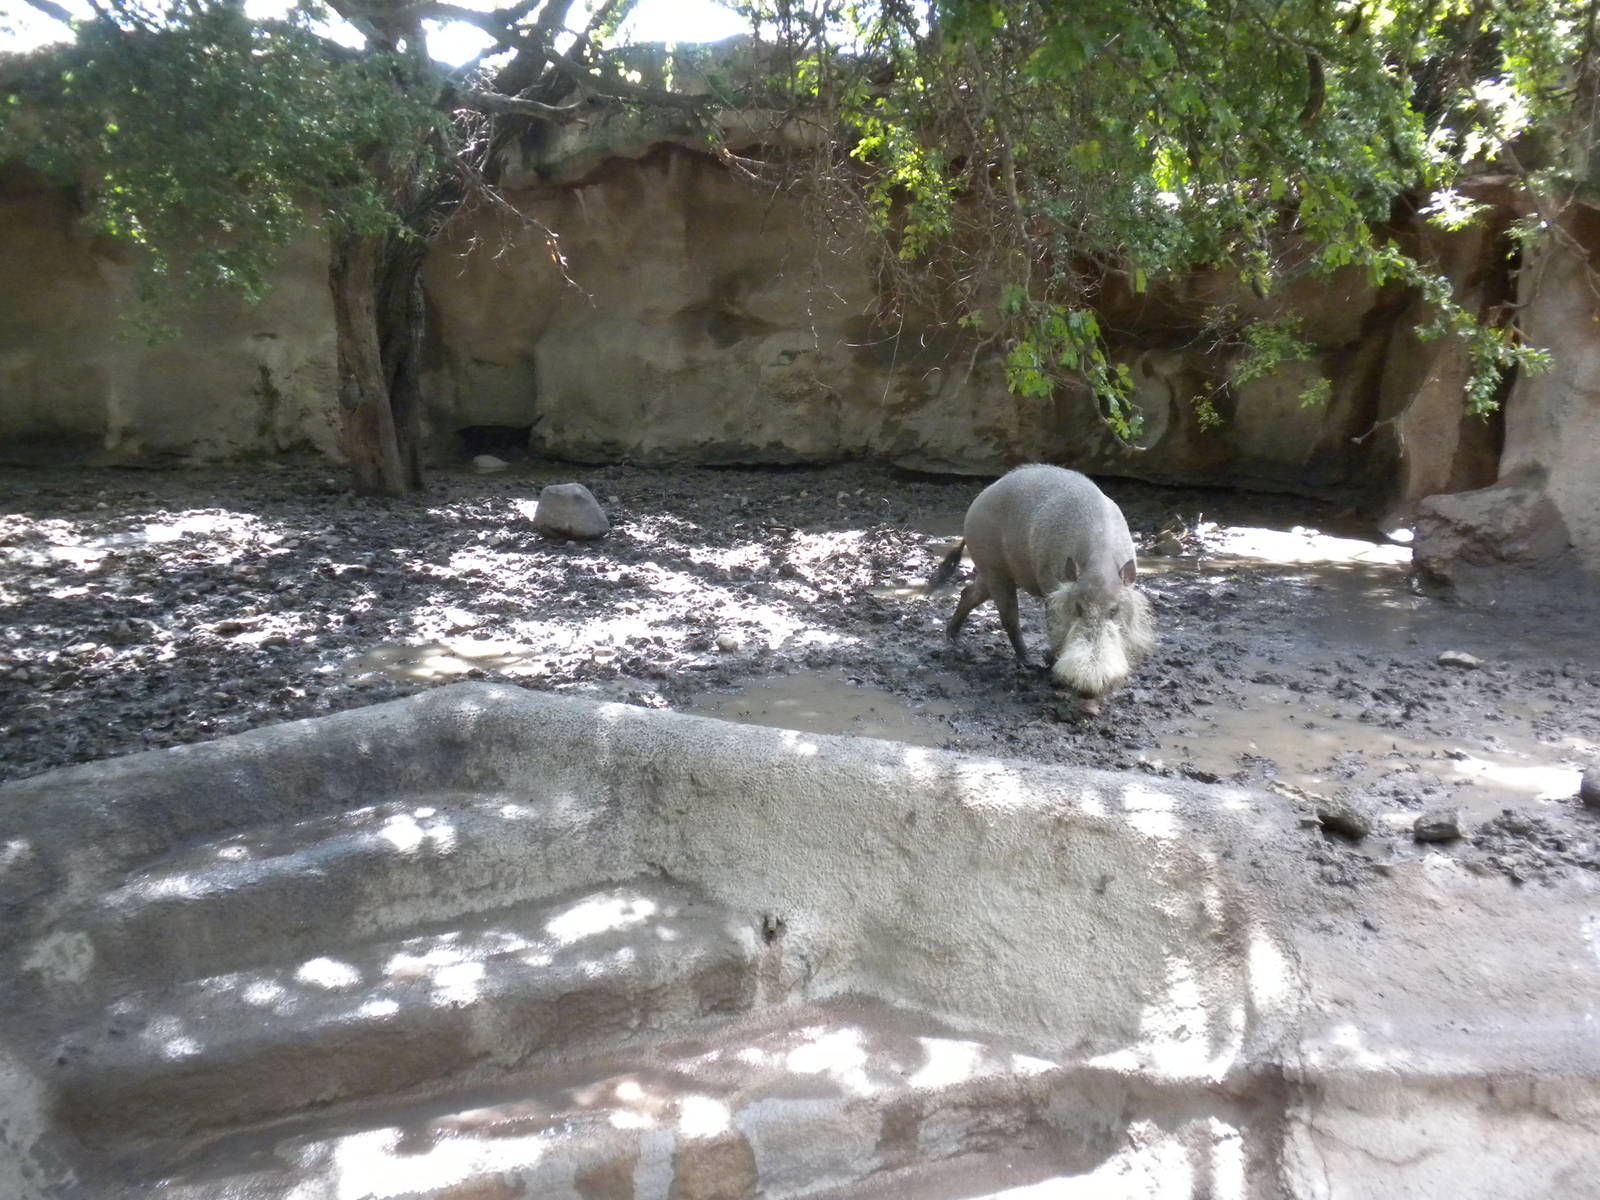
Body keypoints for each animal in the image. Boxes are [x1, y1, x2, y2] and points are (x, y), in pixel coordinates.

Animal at [929, 465, 1154, 698]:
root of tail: (979, 500)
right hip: (995, 569)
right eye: (1078, 608)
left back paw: (954, 639)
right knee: (1009, 617)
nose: (1088, 690)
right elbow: (1053, 626)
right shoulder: (1050, 589)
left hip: (991, 571)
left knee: (968, 593)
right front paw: (1050, 665)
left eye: (1114, 610)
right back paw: (1029, 662)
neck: (1099, 567)